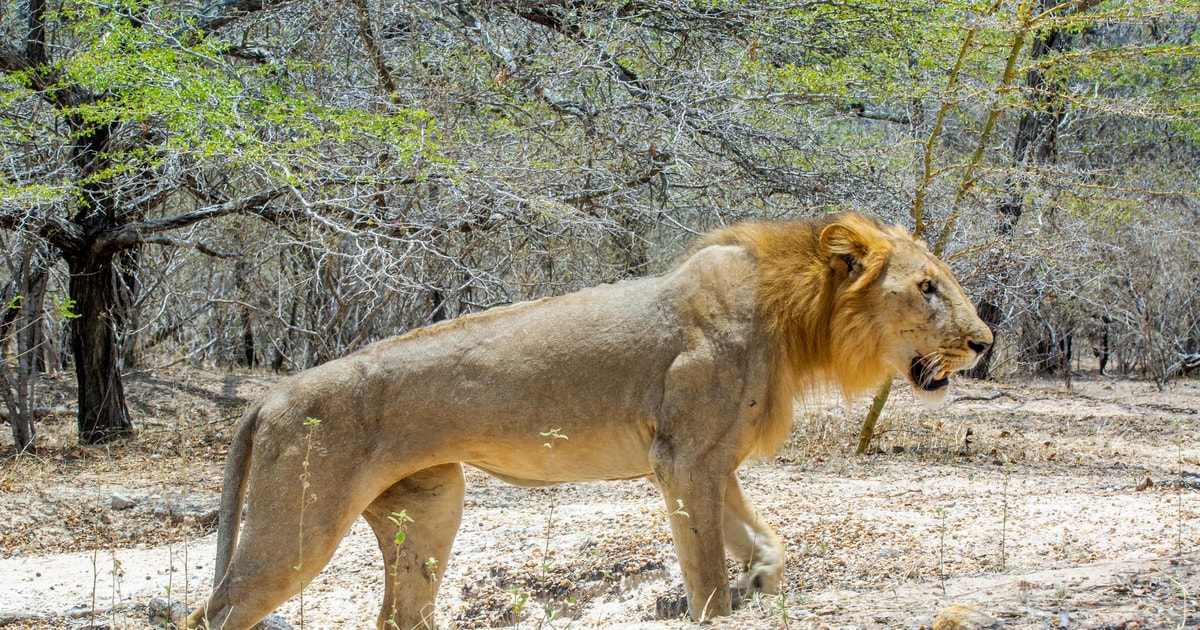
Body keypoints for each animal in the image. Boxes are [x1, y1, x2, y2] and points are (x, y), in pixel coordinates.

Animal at [189, 212, 993, 628]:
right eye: (927, 287)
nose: (985, 342)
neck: (796, 321)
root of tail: (268, 397)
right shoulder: (683, 460)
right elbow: (706, 575)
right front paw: (725, 601)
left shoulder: (709, 461)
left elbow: (764, 539)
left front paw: (765, 580)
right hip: (298, 529)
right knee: (213, 615)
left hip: (431, 506)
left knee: (397, 617)